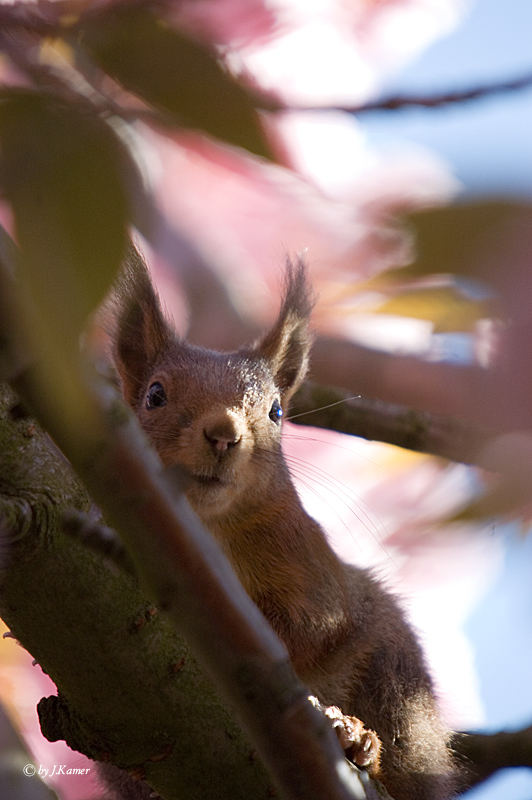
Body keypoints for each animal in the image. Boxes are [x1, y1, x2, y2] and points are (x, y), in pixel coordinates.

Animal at [111, 248, 458, 800]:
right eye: (154, 396)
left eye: (276, 411)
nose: (223, 433)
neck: (205, 526)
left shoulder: (313, 571)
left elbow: (307, 628)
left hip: (396, 680)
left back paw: (357, 739)